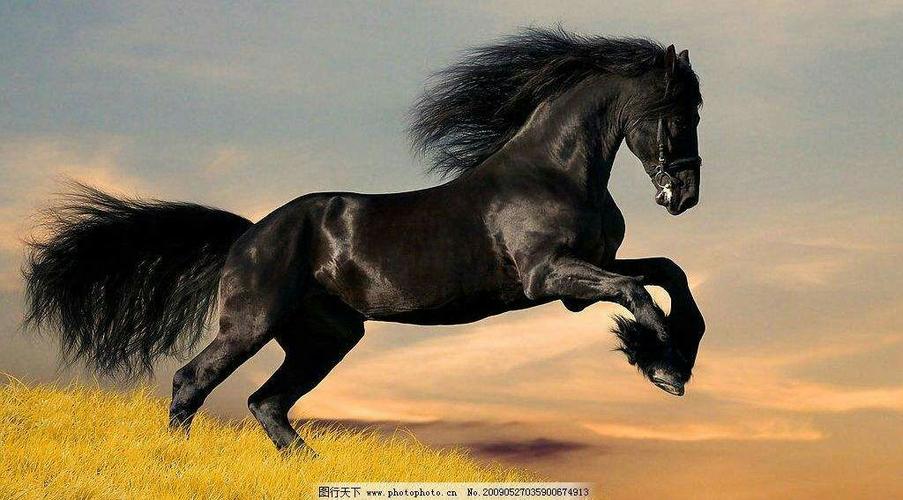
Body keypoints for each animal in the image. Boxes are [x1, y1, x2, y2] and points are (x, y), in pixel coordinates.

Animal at [23, 28, 706, 452]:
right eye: (678, 113)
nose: (685, 196)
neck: (553, 171)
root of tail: (249, 234)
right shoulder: (551, 278)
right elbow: (637, 292)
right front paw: (663, 367)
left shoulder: (585, 274)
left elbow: (667, 273)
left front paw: (673, 354)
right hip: (251, 323)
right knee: (193, 381)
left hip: (326, 336)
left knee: (268, 403)